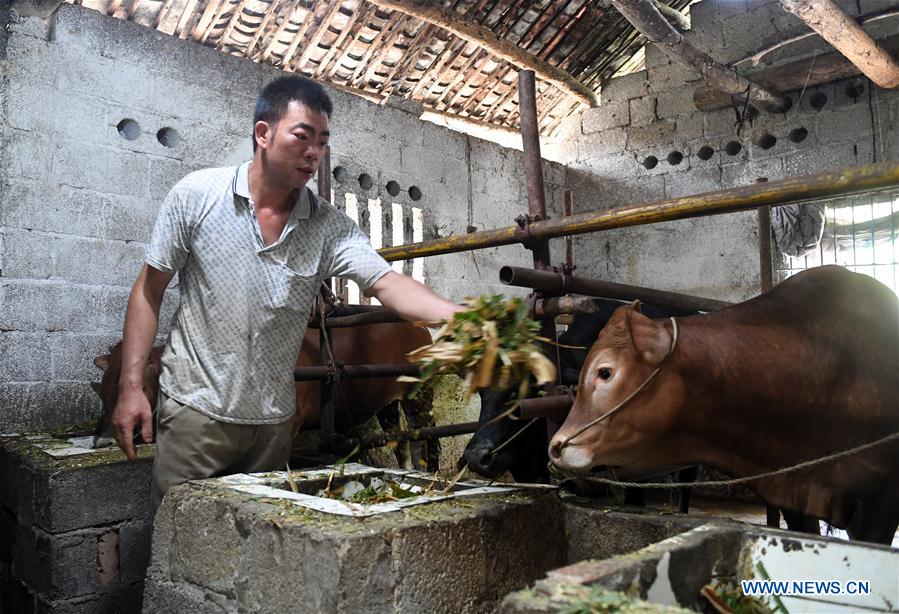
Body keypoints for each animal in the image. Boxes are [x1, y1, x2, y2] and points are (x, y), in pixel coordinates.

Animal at [95, 322, 436, 466]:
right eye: (101, 391)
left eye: (140, 386)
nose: (103, 440)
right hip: (386, 404)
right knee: (398, 441)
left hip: (420, 395)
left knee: (427, 435)